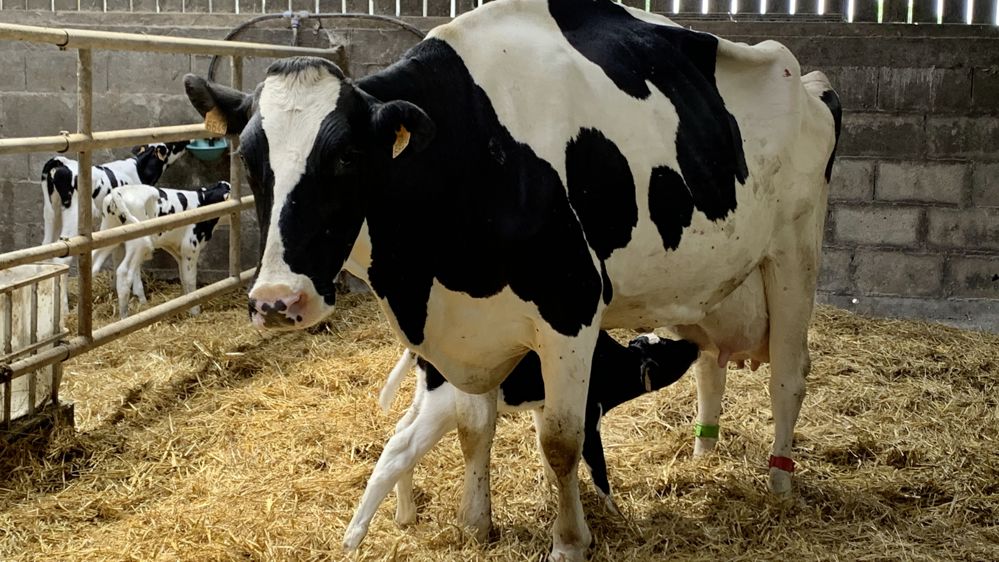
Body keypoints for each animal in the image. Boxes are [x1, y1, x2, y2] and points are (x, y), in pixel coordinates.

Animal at [40, 142, 189, 264]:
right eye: (171, 146)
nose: (184, 141)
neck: (138, 169)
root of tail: (63, 162)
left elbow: (117, 255)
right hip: (73, 216)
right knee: (61, 258)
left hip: (52, 213)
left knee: (47, 246)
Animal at [91, 181, 232, 319]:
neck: (203, 202)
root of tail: (119, 191)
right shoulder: (190, 248)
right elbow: (190, 279)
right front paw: (195, 310)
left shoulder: (178, 250)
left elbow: (183, 276)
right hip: (137, 243)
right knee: (124, 273)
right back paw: (125, 317)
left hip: (109, 232)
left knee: (94, 263)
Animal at [344, 332, 699, 549]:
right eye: (670, 352)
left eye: (666, 341)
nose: (693, 344)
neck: (608, 364)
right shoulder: (588, 414)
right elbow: (598, 468)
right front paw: (617, 514)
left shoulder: (546, 408)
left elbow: (550, 448)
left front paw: (555, 489)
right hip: (445, 403)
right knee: (400, 448)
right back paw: (353, 536)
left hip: (428, 399)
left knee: (400, 433)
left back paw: (405, 514)